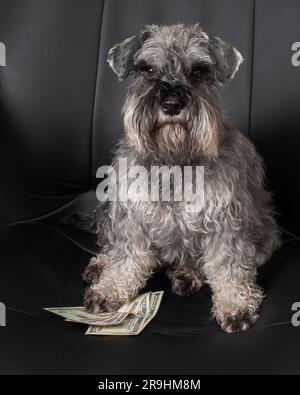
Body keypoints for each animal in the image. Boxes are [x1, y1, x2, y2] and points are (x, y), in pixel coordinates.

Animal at [83, 24, 280, 334]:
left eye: (198, 71)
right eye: (148, 69)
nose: (172, 104)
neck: (174, 158)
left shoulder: (226, 221)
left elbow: (228, 265)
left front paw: (235, 305)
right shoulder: (131, 215)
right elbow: (125, 256)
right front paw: (109, 289)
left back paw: (187, 275)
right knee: (111, 245)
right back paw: (100, 265)